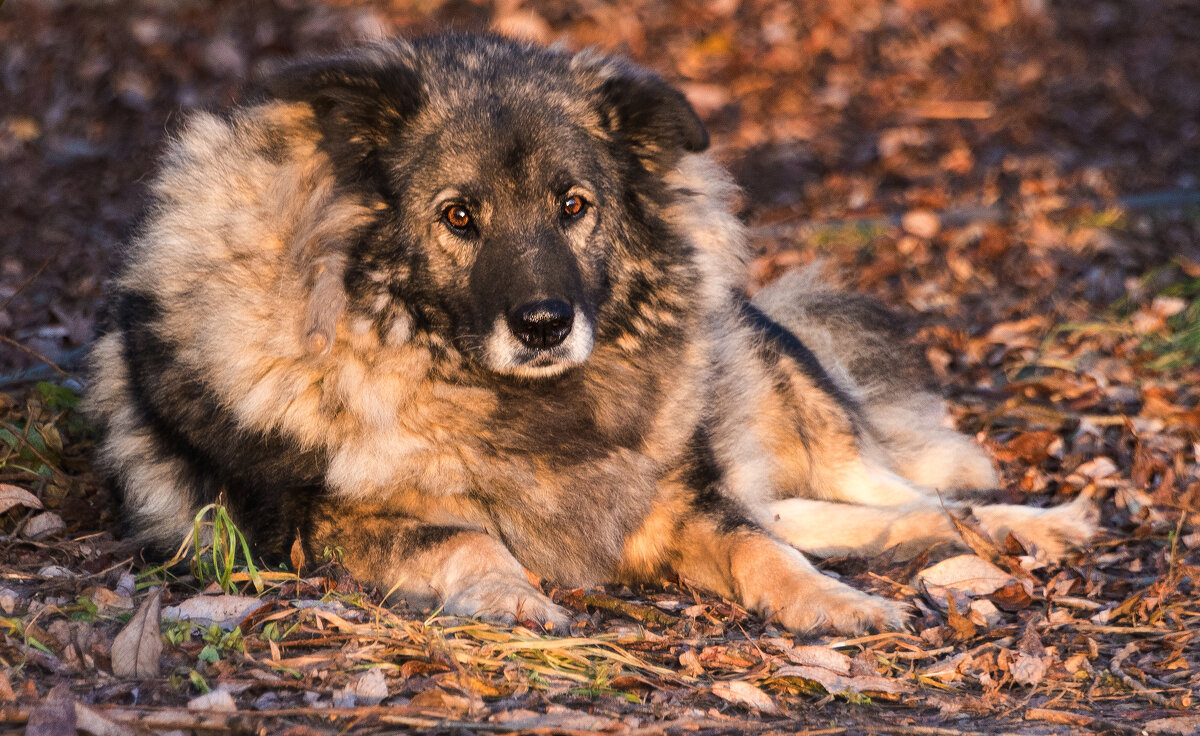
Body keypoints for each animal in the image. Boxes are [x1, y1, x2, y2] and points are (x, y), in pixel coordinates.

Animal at [84, 31, 1099, 633]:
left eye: (574, 206)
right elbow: (461, 540)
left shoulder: (673, 502)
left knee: (904, 496)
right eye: (459, 216)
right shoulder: (332, 528)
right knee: (853, 513)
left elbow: (760, 550)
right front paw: (514, 595)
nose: (543, 324)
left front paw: (832, 603)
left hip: (803, 419)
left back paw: (1031, 527)